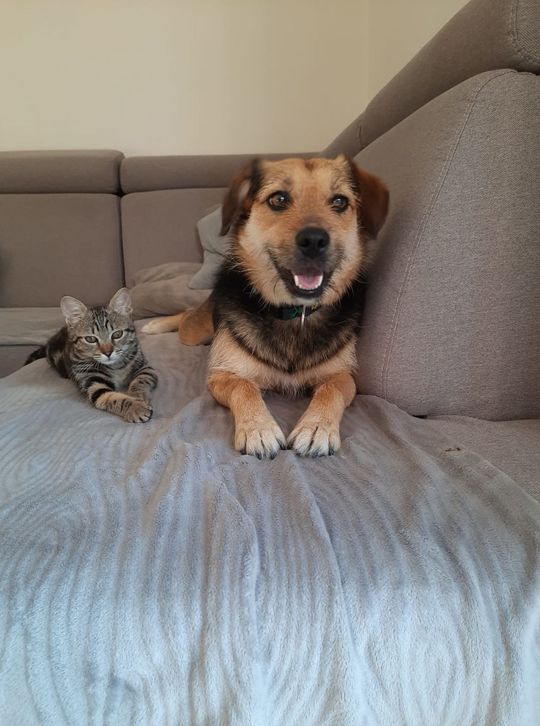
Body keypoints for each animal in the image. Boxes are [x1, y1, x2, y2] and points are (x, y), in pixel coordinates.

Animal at [25, 288, 157, 423]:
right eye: (90, 339)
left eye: (117, 334)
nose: (108, 353)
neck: (115, 367)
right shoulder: (93, 383)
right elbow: (114, 398)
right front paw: (135, 407)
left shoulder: (144, 367)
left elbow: (140, 381)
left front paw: (138, 395)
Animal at [144, 156, 388, 458]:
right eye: (278, 199)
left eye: (340, 202)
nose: (314, 241)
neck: (295, 314)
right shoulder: (222, 375)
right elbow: (244, 386)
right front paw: (259, 429)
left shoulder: (343, 376)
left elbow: (330, 389)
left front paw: (316, 427)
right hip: (195, 333)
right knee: (188, 316)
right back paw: (157, 323)